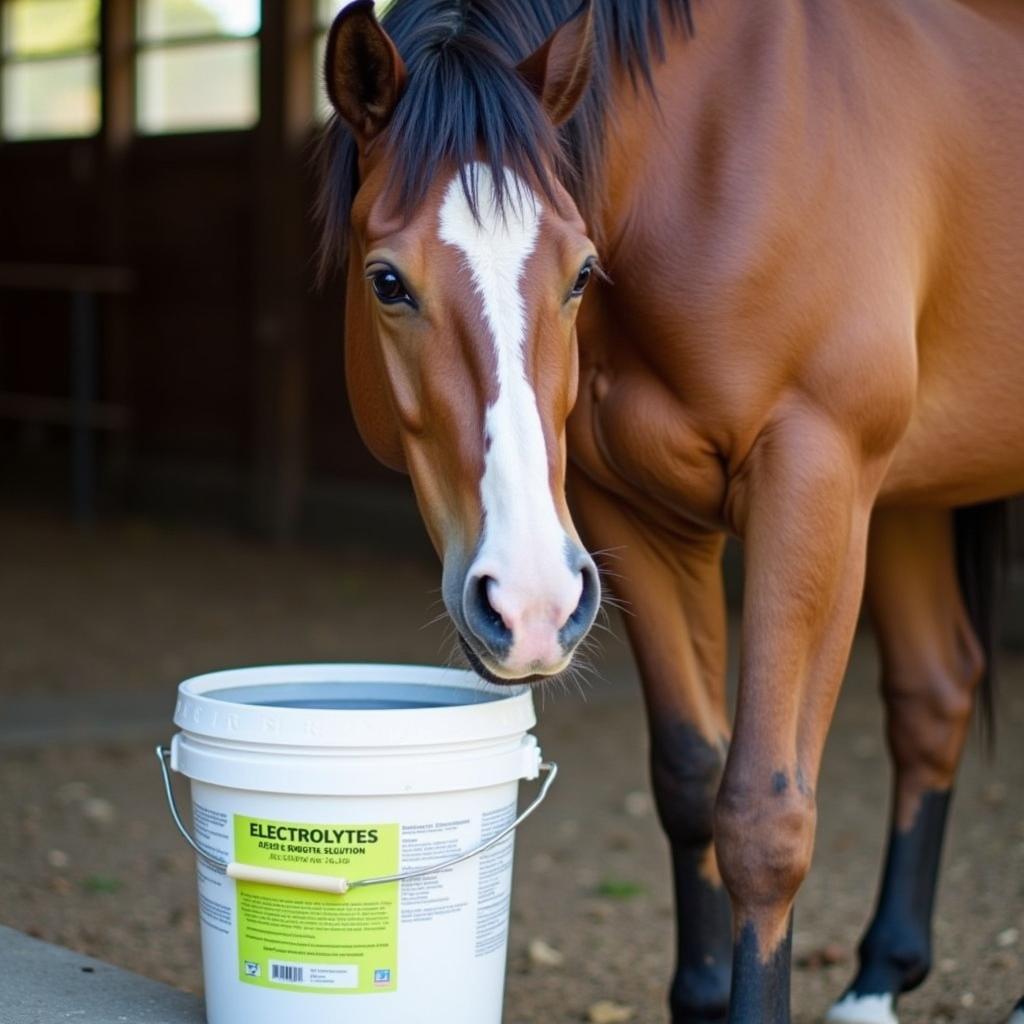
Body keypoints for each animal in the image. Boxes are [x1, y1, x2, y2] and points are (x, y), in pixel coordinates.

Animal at [315, 0, 1019, 1019]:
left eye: (580, 274)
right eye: (387, 282)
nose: (526, 603)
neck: (708, 155)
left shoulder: (817, 480)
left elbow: (764, 817)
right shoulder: (629, 516)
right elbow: (690, 778)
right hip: (910, 496)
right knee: (935, 689)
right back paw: (882, 974)